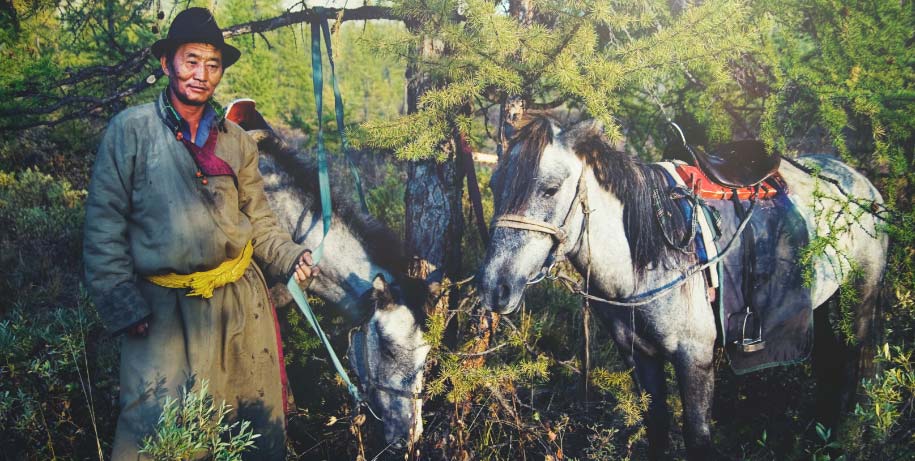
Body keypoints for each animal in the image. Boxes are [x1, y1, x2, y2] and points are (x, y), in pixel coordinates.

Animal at [480, 112, 888, 460]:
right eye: (495, 186)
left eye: (550, 190)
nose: (494, 287)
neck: (642, 262)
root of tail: (862, 184)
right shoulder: (639, 357)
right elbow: (657, 428)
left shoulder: (695, 358)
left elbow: (698, 439)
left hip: (860, 300)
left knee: (851, 366)